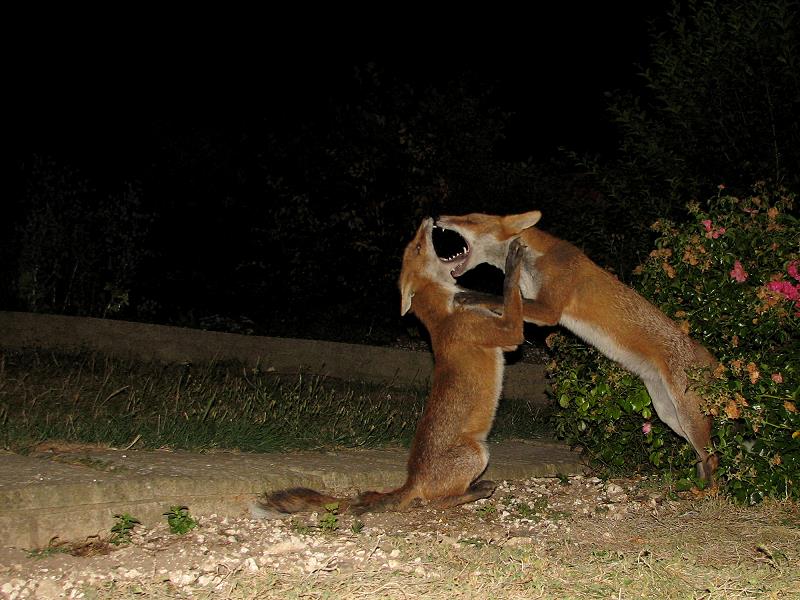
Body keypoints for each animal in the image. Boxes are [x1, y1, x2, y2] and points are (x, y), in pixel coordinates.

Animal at [256, 216, 528, 516]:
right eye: (419, 246)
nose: (429, 219)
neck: (445, 312)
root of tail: (412, 479)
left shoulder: (504, 342)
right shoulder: (509, 333)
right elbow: (510, 292)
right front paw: (512, 263)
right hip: (477, 452)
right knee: (437, 501)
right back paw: (476, 490)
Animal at [434, 211, 720, 482]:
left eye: (471, 219)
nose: (438, 218)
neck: (536, 260)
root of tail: (710, 359)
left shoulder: (549, 310)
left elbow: (496, 297)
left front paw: (467, 297)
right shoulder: (534, 301)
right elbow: (504, 302)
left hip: (687, 416)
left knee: (712, 458)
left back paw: (707, 493)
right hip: (668, 414)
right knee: (700, 456)